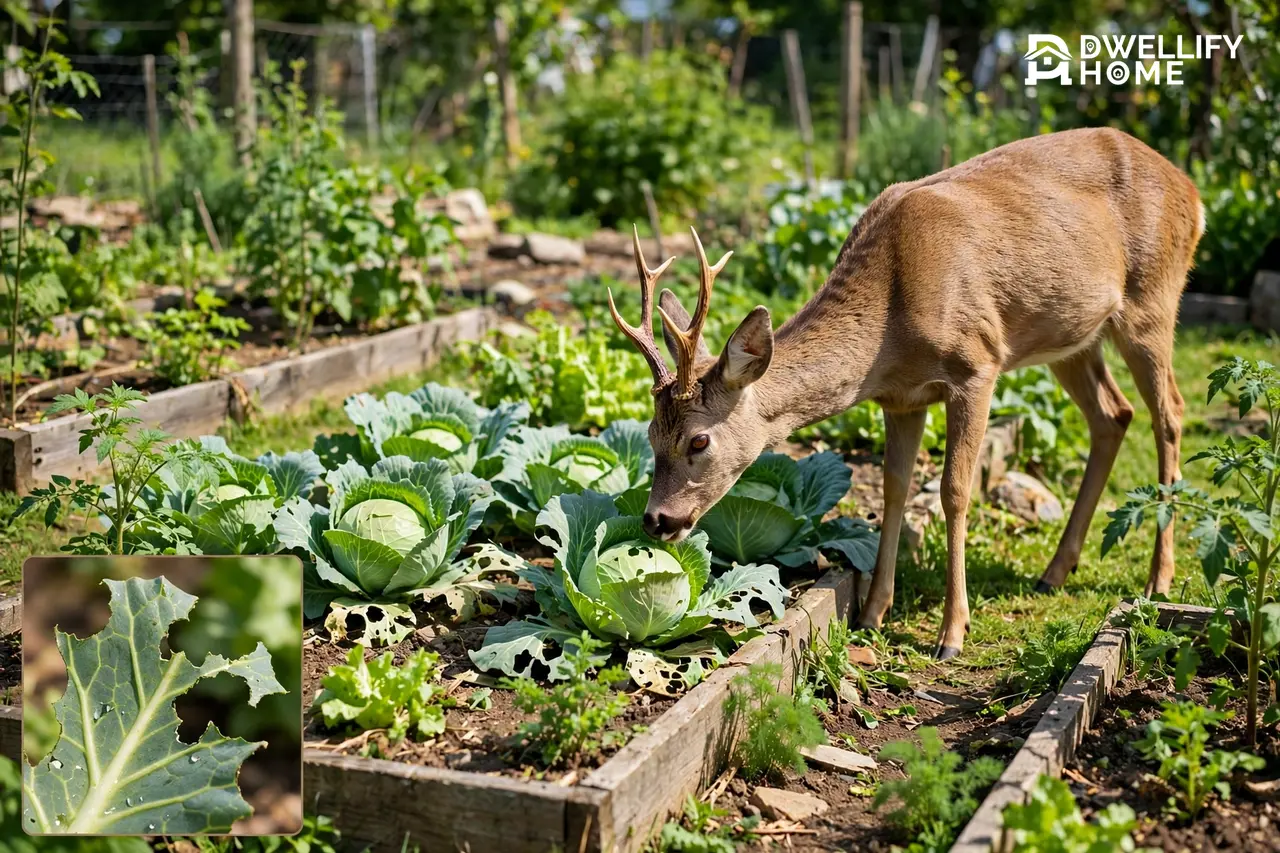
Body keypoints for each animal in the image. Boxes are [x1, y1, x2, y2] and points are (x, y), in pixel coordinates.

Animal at [609, 127, 1204, 658]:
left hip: (1153, 298)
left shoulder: (978, 364)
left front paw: (952, 633)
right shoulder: (901, 399)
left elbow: (954, 491)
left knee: (1170, 413)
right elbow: (894, 489)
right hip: (1073, 335)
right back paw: (1055, 571)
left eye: (699, 441)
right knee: (1114, 414)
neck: (889, 328)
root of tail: (1192, 192)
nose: (657, 520)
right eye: (650, 433)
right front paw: (874, 611)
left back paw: (1158, 579)